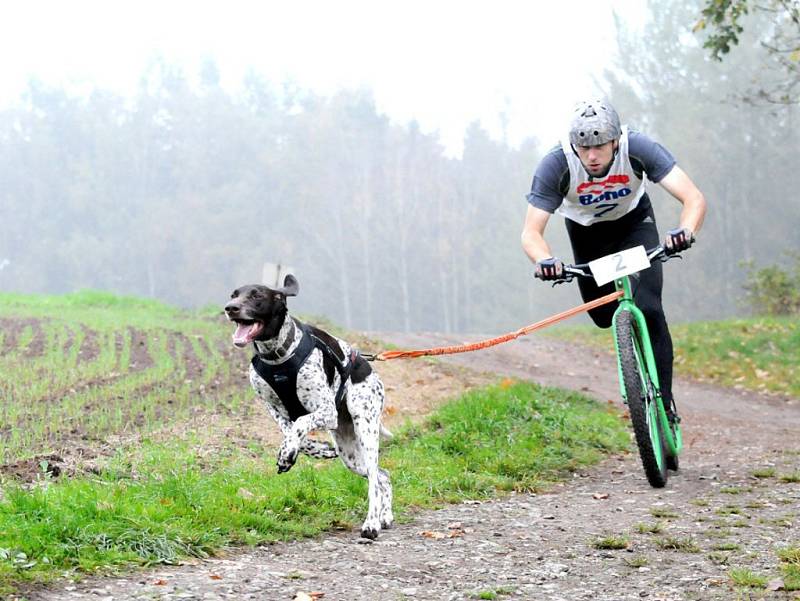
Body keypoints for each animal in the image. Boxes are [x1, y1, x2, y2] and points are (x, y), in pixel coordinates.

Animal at [223, 276, 392, 540]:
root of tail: (368, 367)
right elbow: (291, 432)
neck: (277, 356)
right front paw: (303, 451)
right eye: (234, 294)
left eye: (256, 296)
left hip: (365, 429)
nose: (230, 308)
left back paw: (372, 523)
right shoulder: (274, 409)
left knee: (375, 478)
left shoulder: (326, 411)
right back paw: (386, 516)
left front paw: (288, 453)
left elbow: (301, 423)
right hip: (349, 453)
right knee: (384, 476)